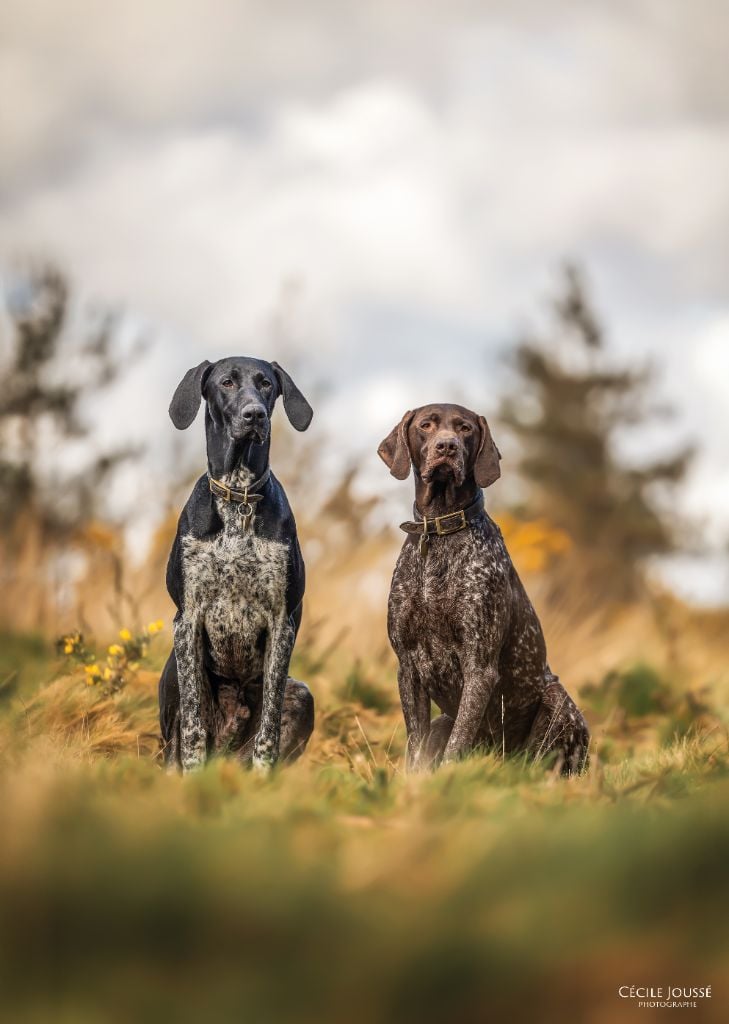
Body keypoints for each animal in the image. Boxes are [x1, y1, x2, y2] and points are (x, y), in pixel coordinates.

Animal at [159, 356, 313, 770]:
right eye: (226, 382)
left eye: (266, 384)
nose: (254, 414)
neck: (239, 496)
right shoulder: (187, 621)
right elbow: (192, 726)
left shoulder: (281, 623)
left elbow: (269, 728)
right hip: (172, 674)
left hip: (302, 694)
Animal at [378, 403, 589, 770]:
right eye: (426, 425)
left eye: (464, 428)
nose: (447, 446)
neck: (440, 531)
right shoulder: (408, 667)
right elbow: (415, 748)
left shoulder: (479, 666)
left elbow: (457, 744)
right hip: (442, 720)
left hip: (557, 703)